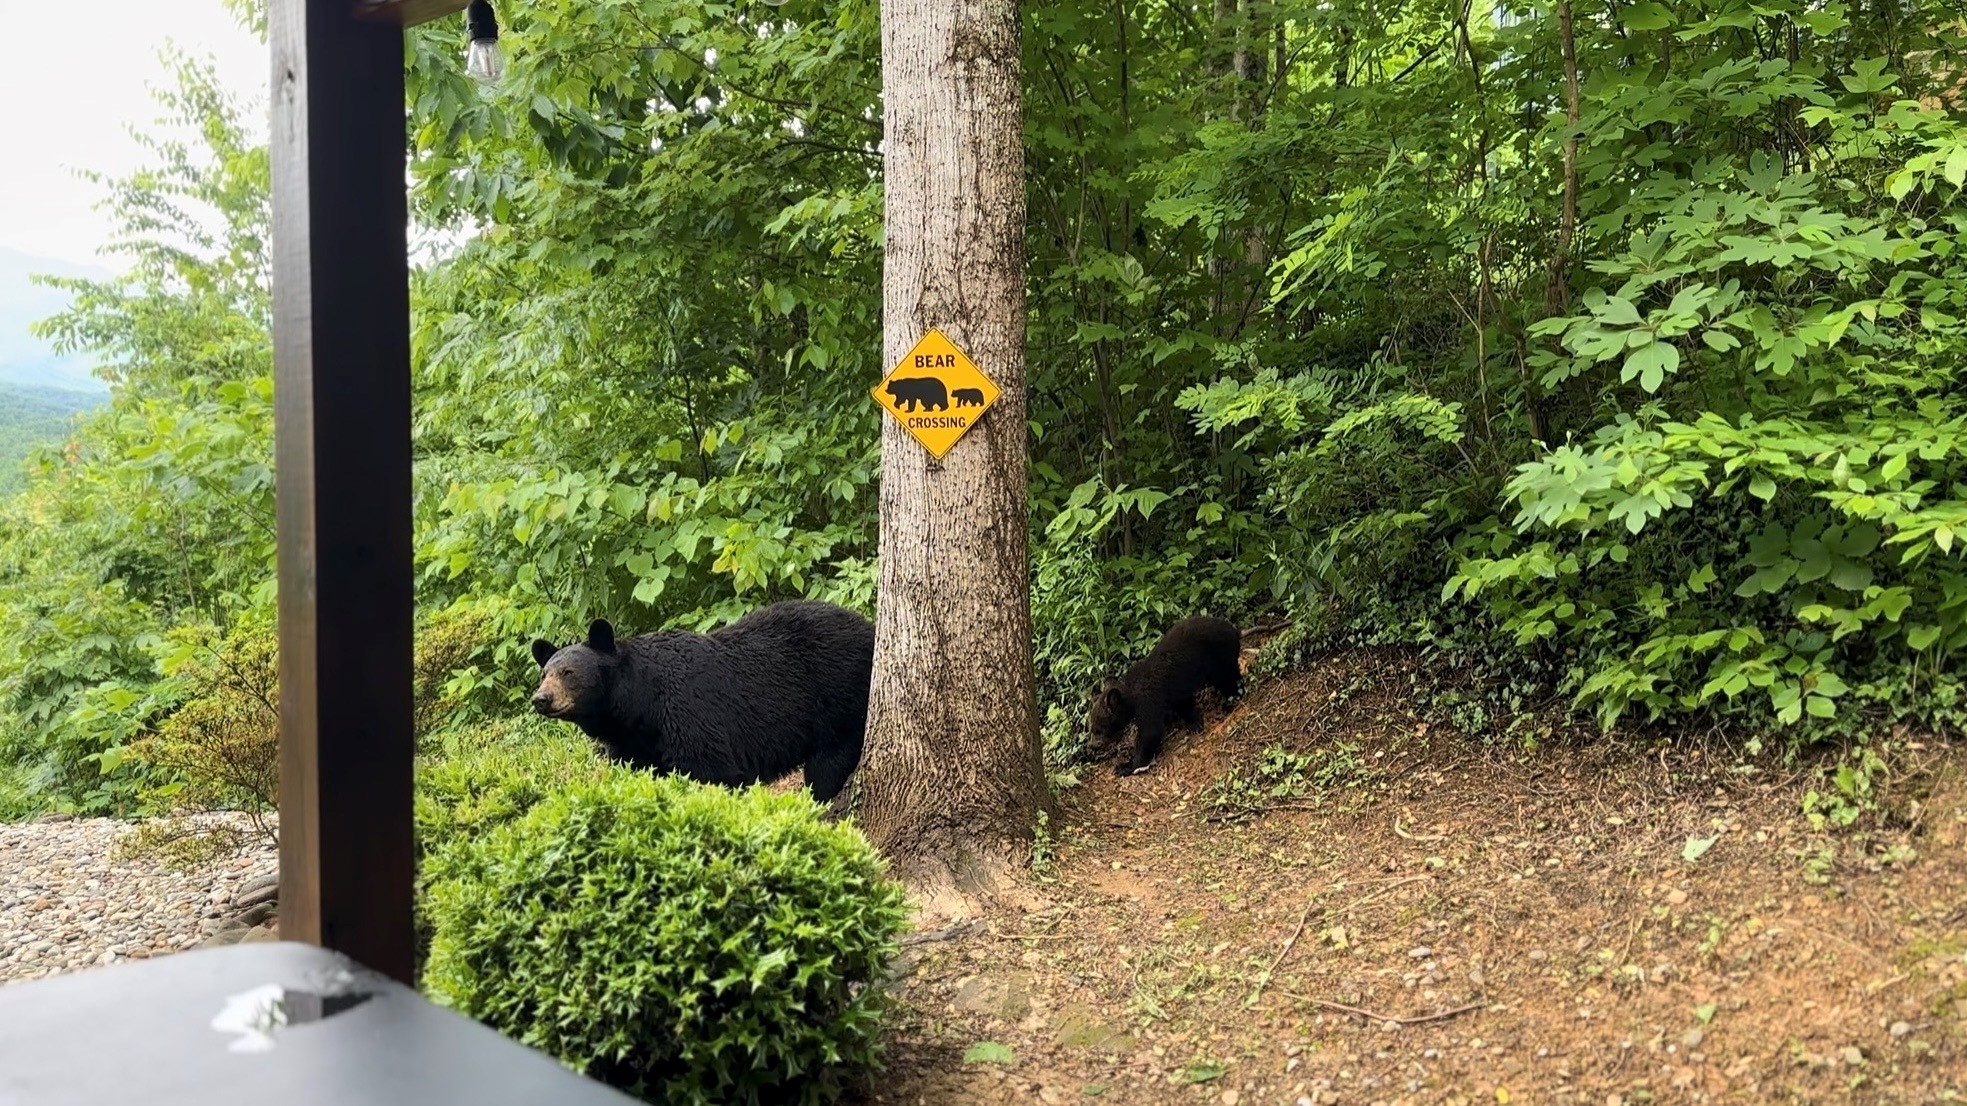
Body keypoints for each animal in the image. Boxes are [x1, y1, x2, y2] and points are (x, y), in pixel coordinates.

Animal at [529, 599, 874, 802]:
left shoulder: (688, 715)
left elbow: (713, 772)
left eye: (569, 672)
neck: (640, 705)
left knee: (828, 763)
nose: (541, 699)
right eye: (544, 673)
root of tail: (870, 628)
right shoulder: (633, 743)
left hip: (839, 697)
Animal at [1089, 615, 1242, 776]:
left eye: (1098, 728)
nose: (1092, 745)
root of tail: (1233, 629)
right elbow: (1184, 704)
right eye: (1092, 726)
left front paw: (1126, 766)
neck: (1131, 693)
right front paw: (1194, 723)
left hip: (1219, 657)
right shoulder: (1175, 693)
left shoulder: (1147, 701)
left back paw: (1231, 700)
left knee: (1225, 679)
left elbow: (1150, 732)